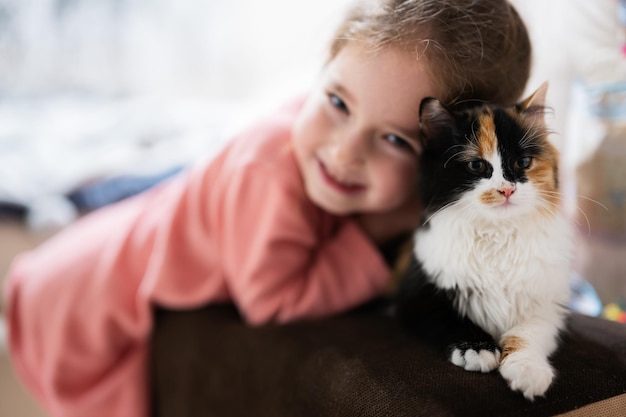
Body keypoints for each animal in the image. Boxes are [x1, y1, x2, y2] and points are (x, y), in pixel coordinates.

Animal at [394, 83, 572, 400]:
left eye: (523, 163)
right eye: (477, 166)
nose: (507, 190)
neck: (496, 233)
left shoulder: (545, 306)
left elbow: (525, 335)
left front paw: (528, 371)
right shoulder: (416, 296)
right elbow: (452, 319)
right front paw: (478, 349)